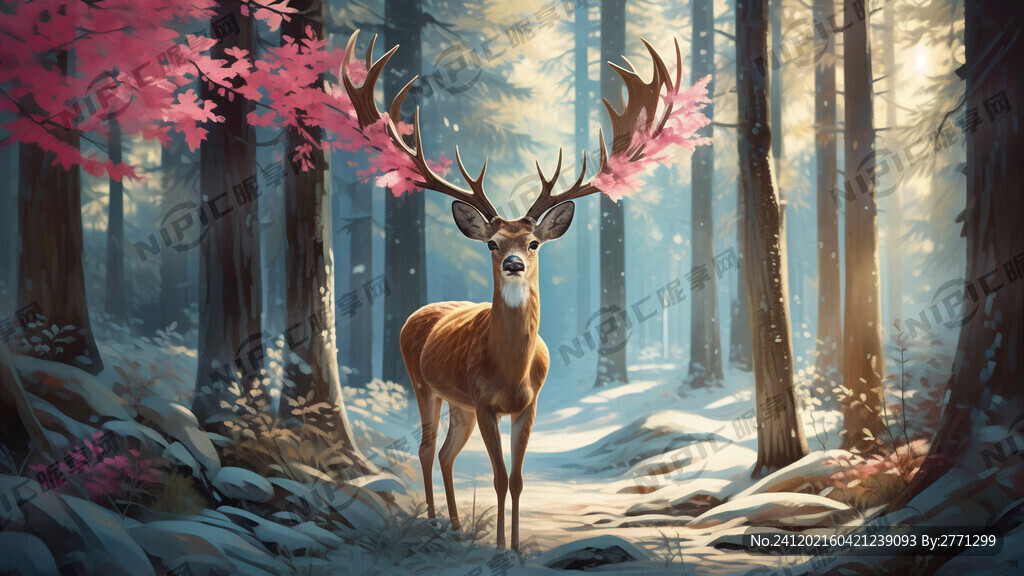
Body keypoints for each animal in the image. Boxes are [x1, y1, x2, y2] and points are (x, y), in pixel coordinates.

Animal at [341, 30, 689, 551]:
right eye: (491, 241)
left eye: (533, 241)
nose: (513, 263)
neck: (509, 373)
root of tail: (418, 314)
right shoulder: (486, 404)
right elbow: (500, 478)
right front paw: (501, 549)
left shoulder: (528, 404)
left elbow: (518, 479)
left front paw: (518, 548)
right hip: (423, 382)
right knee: (425, 448)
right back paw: (434, 523)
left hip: (459, 404)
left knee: (445, 453)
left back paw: (457, 526)